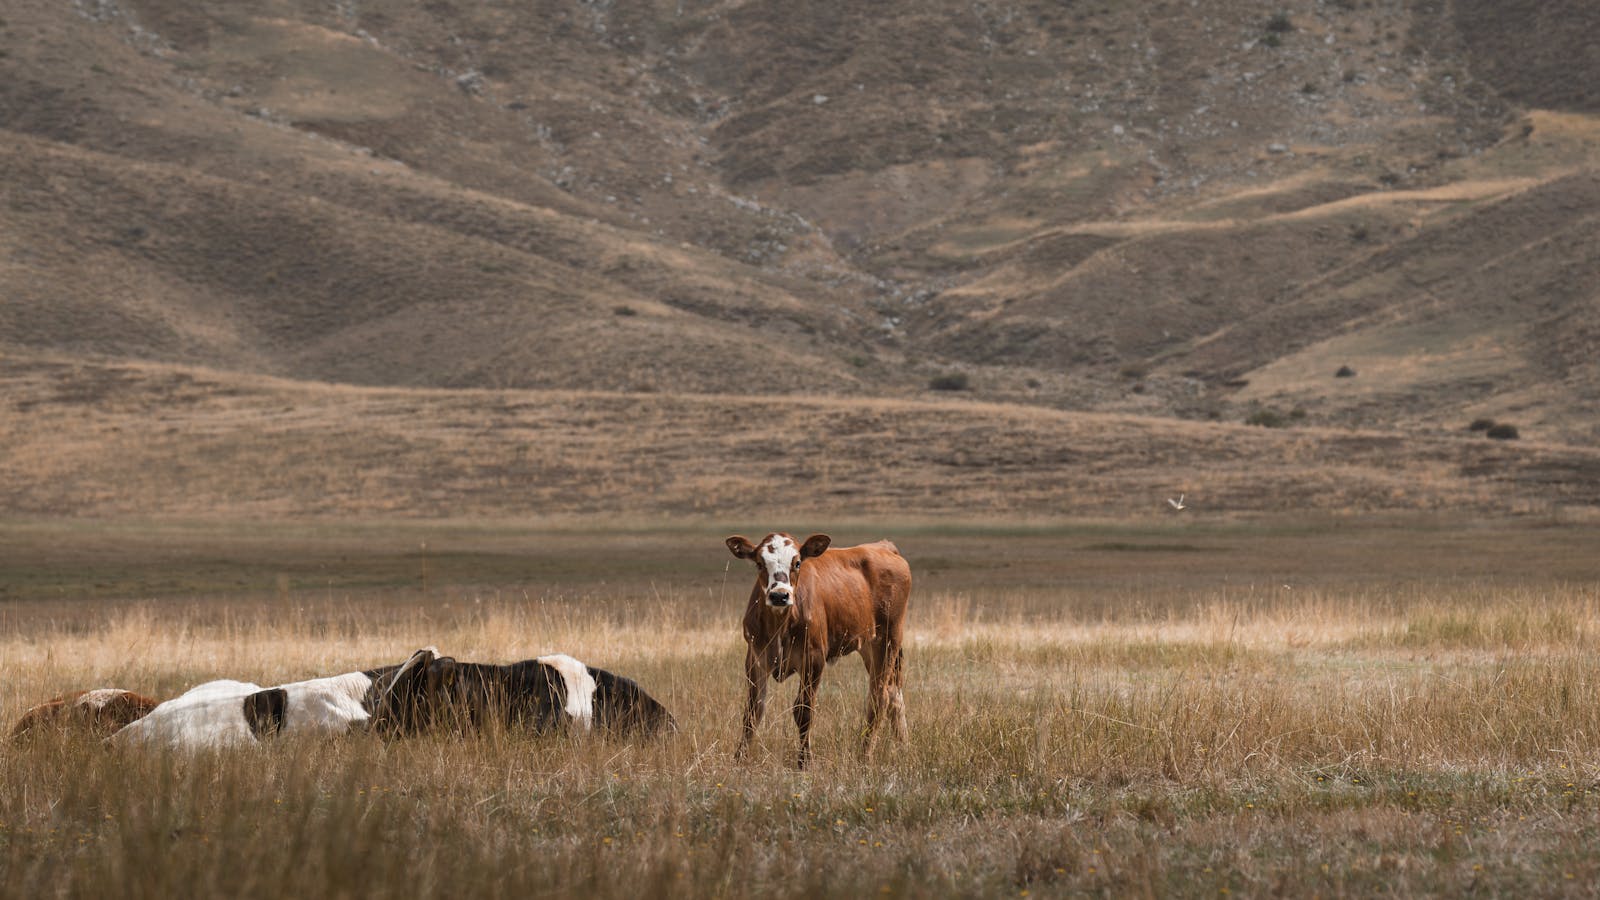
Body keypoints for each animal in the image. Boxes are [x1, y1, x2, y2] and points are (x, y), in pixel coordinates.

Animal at [729, 528, 915, 768]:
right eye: (760, 563)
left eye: (797, 562)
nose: (779, 595)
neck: (780, 624)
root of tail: (883, 546)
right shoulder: (755, 659)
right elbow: (753, 711)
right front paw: (739, 759)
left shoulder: (814, 659)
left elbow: (803, 710)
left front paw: (804, 761)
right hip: (869, 645)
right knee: (893, 693)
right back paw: (903, 747)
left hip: (888, 640)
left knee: (879, 697)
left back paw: (865, 755)